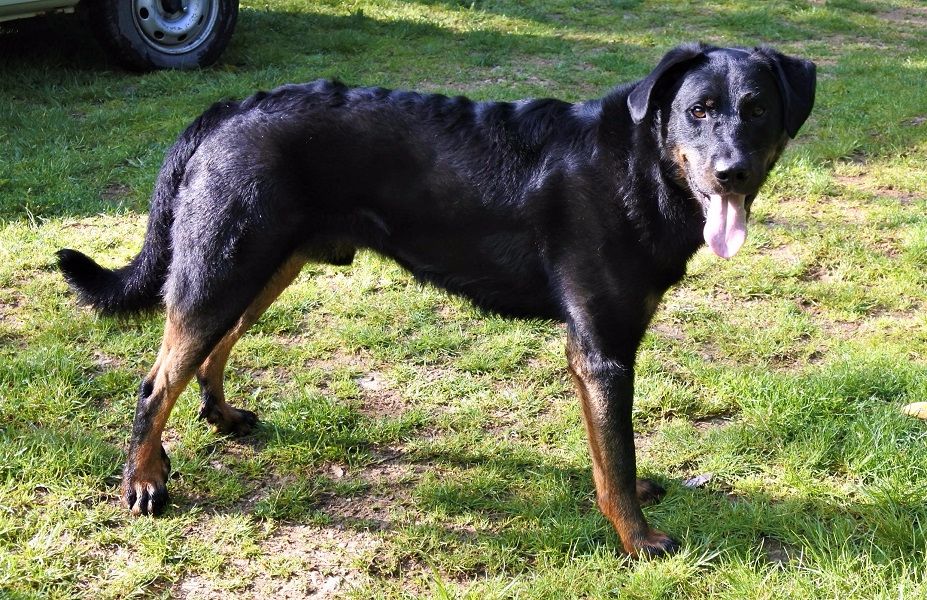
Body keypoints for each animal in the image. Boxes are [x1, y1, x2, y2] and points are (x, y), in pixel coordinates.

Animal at [58, 43, 815, 557]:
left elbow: (611, 453)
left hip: (262, 266)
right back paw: (144, 481)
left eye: (757, 110)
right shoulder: (600, 351)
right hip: (223, 266)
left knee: (213, 347)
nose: (731, 171)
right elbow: (616, 459)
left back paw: (219, 418)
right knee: (157, 380)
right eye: (698, 111)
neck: (639, 163)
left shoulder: (603, 350)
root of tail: (228, 110)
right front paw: (638, 540)